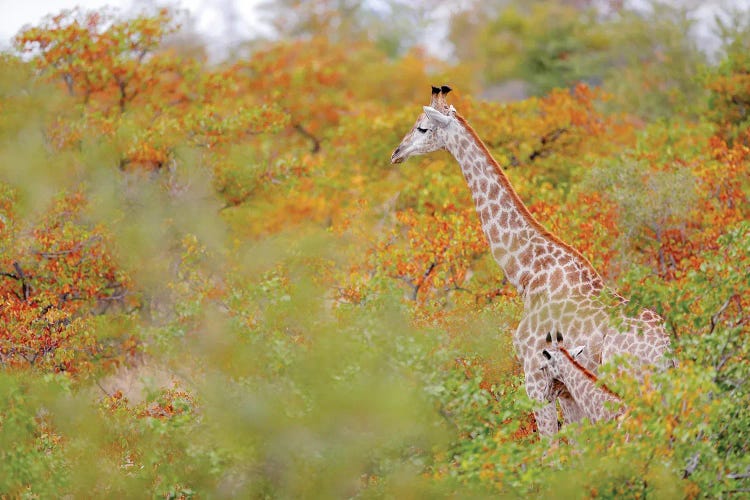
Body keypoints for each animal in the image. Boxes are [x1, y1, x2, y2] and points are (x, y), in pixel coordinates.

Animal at [394, 85, 676, 434]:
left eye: (422, 127)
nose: (396, 152)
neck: (527, 271)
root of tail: (666, 352)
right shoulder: (567, 389)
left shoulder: (535, 378)